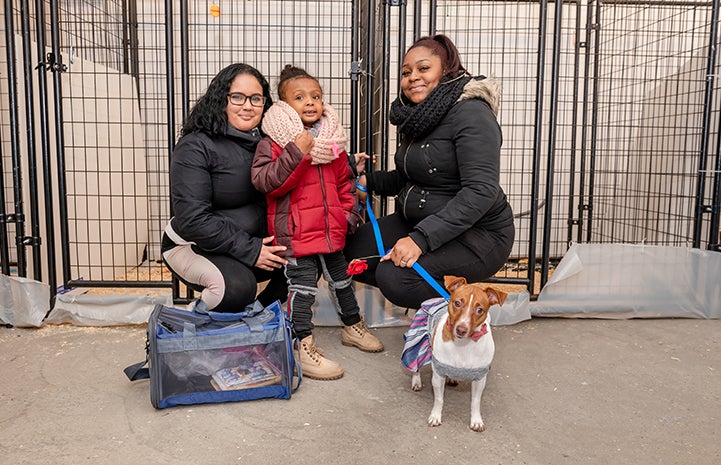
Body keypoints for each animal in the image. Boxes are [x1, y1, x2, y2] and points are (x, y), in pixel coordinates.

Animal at [410, 274, 506, 430]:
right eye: (457, 303)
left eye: (480, 310)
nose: (461, 329)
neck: (463, 346)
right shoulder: (438, 375)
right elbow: (439, 399)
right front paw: (435, 416)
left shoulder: (480, 378)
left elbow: (475, 401)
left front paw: (476, 420)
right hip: (418, 342)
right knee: (415, 365)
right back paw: (416, 381)